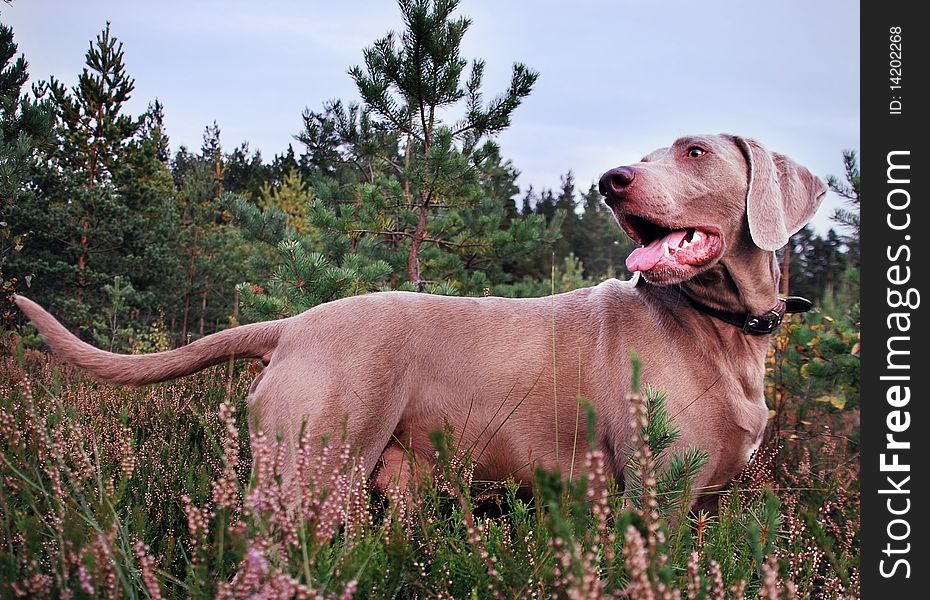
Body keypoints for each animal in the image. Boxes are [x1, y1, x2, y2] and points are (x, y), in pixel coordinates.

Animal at [14, 135, 824, 502]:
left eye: (694, 151)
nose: (611, 180)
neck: (722, 330)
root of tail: (293, 326)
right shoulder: (653, 492)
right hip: (311, 468)